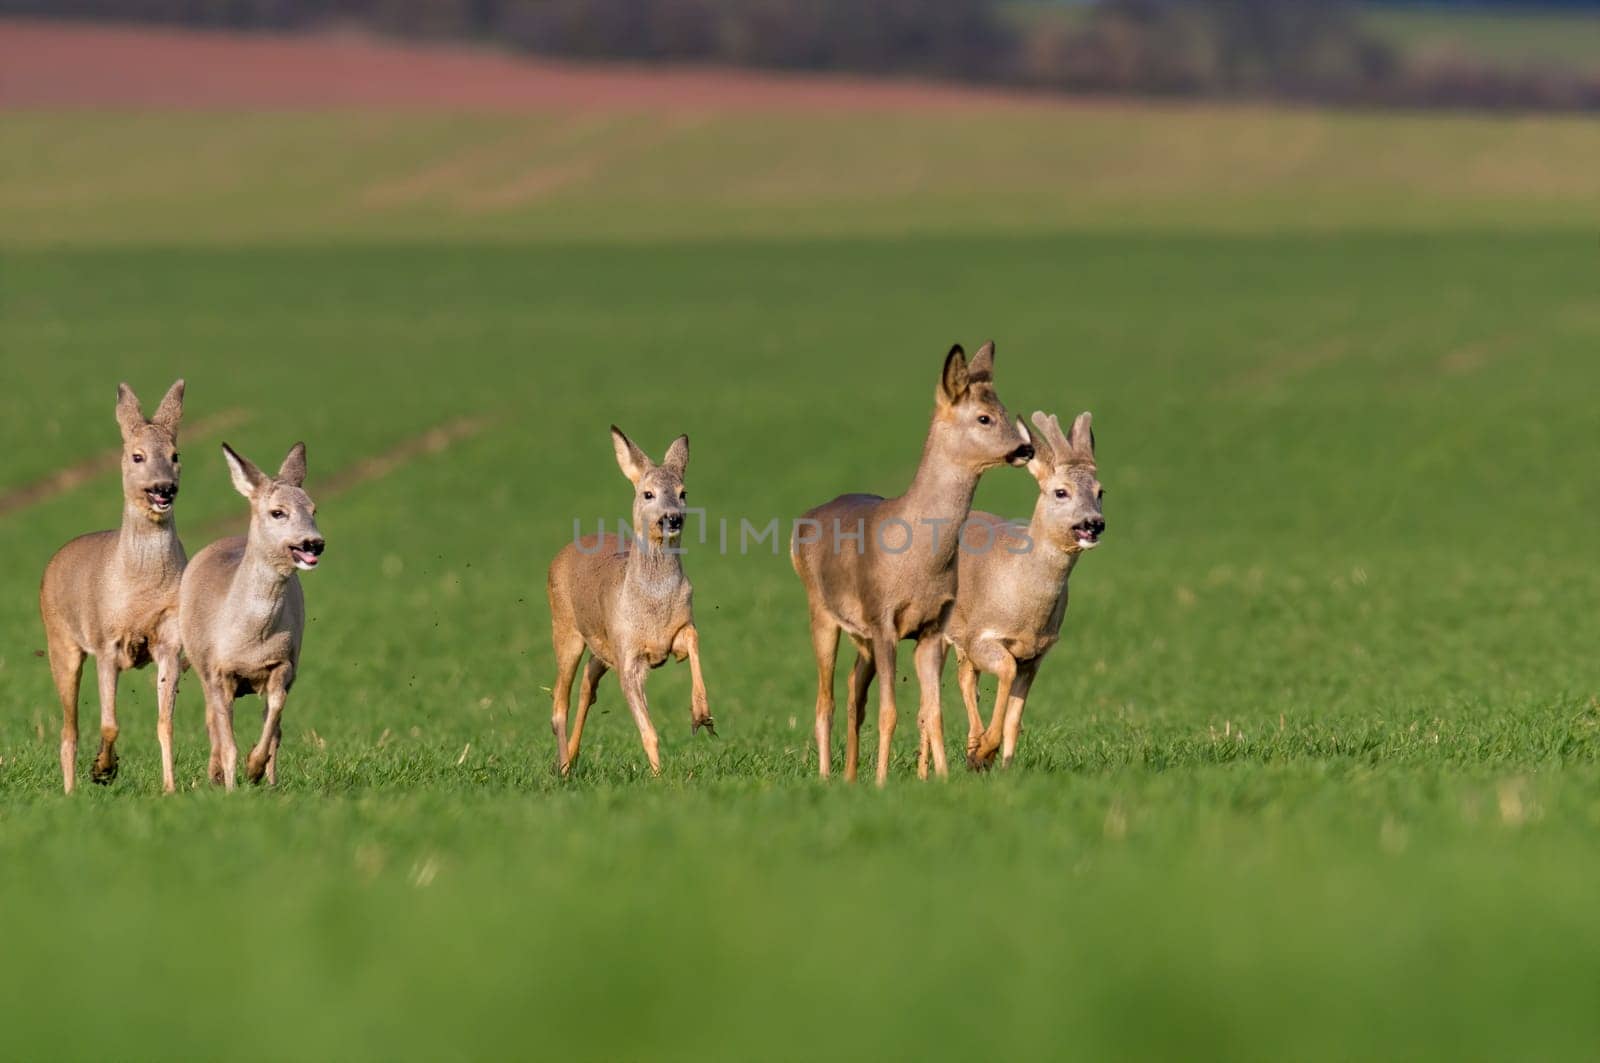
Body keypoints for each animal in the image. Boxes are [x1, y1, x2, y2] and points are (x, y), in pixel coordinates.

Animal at [40, 377, 185, 794]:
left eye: (175, 454)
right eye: (137, 456)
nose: (164, 488)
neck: (140, 587)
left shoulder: (169, 642)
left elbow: (165, 724)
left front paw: (170, 788)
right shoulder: (106, 642)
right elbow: (109, 723)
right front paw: (103, 769)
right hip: (61, 642)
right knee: (68, 729)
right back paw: (70, 792)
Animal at [180, 438, 323, 787]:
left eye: (314, 509)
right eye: (277, 512)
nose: (314, 543)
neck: (250, 638)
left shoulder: (284, 663)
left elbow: (275, 712)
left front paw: (256, 767)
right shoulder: (217, 670)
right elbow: (225, 737)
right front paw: (231, 783)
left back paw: (268, 781)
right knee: (211, 720)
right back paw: (216, 774)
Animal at [550, 429, 720, 778]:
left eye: (683, 492)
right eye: (647, 494)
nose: (673, 519)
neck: (653, 603)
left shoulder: (674, 633)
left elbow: (693, 639)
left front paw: (701, 715)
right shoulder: (628, 655)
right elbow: (648, 731)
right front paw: (658, 777)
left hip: (601, 649)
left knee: (587, 686)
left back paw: (571, 757)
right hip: (566, 629)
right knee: (560, 702)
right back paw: (563, 769)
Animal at [790, 344, 1036, 784]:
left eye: (1005, 409)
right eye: (984, 417)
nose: (1026, 450)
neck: (918, 558)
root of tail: (802, 522)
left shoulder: (932, 627)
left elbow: (933, 712)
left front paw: (943, 777)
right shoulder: (884, 620)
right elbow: (890, 712)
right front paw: (882, 783)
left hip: (862, 637)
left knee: (854, 692)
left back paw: (849, 776)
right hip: (821, 612)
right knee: (825, 701)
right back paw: (827, 777)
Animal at [940, 408, 1107, 771]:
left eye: (1101, 491)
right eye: (1060, 492)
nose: (1094, 523)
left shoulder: (1036, 654)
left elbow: (1015, 718)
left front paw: (1003, 764)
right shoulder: (982, 634)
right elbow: (1004, 669)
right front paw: (984, 751)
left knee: (966, 677)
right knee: (961, 679)